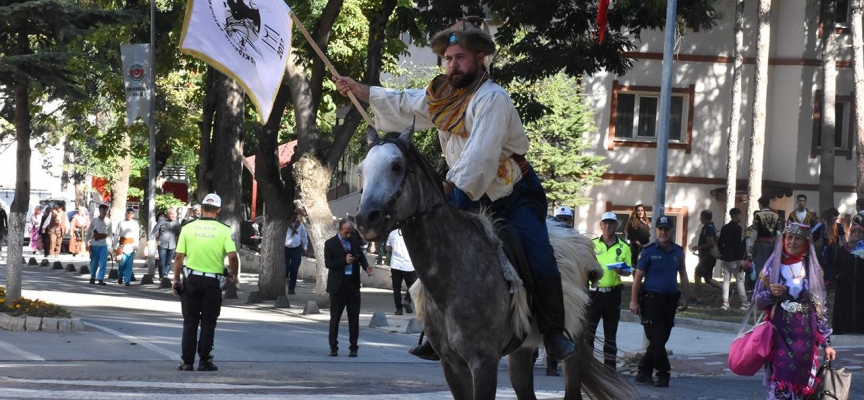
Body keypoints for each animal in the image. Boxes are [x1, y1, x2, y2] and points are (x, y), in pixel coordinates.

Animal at [352, 126, 636, 398]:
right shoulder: (451, 365)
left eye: (396, 166)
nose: (365, 218)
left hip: (573, 348)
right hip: (521, 352)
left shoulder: (483, 363)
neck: (451, 276)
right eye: (361, 169)